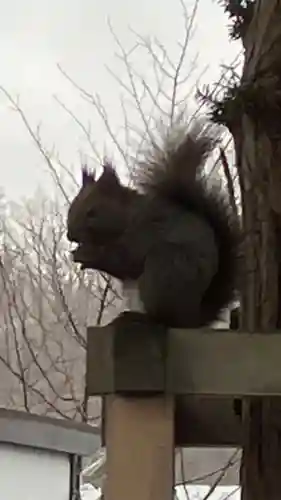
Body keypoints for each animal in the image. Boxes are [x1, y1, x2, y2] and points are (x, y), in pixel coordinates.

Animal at [66, 121, 238, 328]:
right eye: (71, 207)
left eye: (92, 212)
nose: (70, 235)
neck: (128, 215)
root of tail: (191, 318)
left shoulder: (143, 232)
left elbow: (124, 259)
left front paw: (87, 255)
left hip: (164, 268)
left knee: (162, 318)